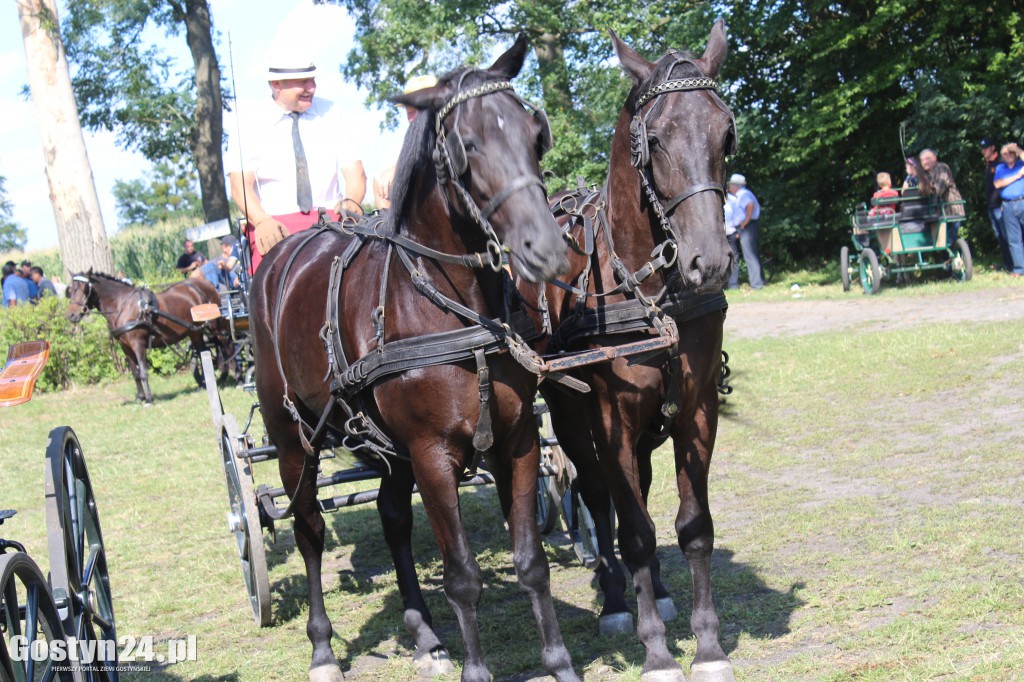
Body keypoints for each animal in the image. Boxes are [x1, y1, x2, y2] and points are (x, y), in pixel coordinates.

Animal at [66, 268, 230, 401]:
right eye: (70, 290)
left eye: (84, 289)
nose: (71, 315)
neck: (122, 305)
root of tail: (206, 284)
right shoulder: (125, 346)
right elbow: (135, 372)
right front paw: (140, 397)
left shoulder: (138, 344)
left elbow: (143, 371)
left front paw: (149, 398)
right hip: (194, 331)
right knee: (204, 352)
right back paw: (208, 381)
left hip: (216, 325)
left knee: (226, 345)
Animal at [520, 21, 737, 679]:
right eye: (655, 139)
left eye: (726, 131)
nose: (708, 262)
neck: (649, 292)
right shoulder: (608, 411)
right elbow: (632, 529)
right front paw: (656, 651)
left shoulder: (695, 407)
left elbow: (692, 524)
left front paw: (707, 644)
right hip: (571, 412)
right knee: (597, 493)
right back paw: (618, 596)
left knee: (636, 484)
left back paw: (657, 591)